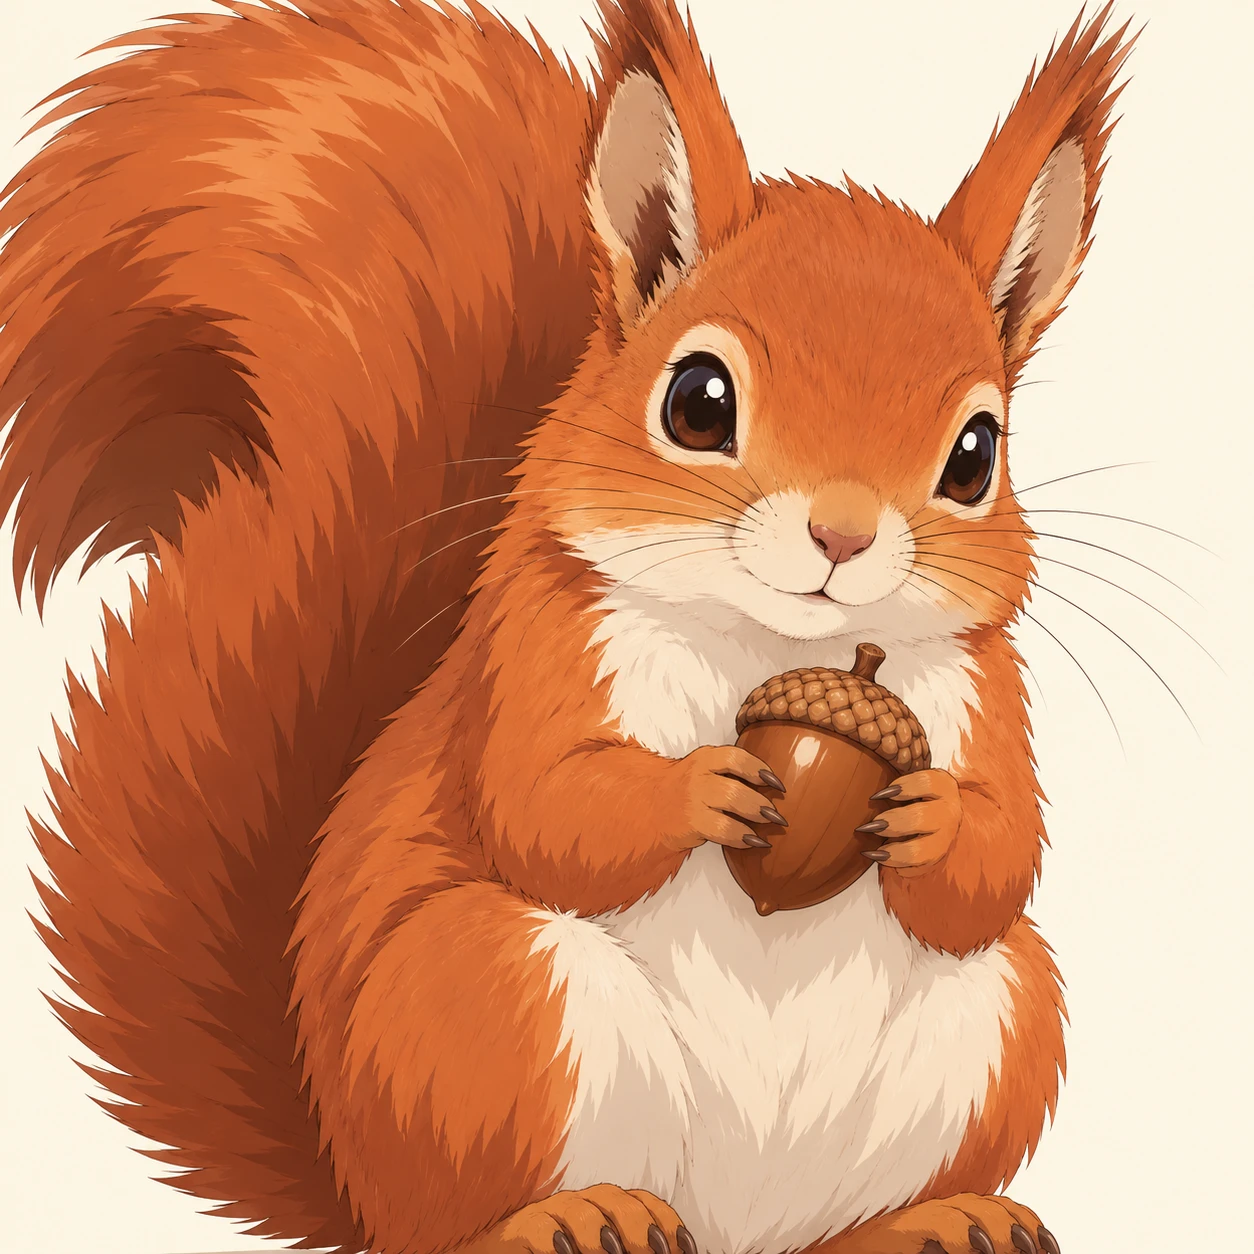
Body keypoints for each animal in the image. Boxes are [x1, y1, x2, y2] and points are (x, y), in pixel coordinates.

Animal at [0, 2, 1135, 1253]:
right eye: (697, 401)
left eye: (977, 455)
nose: (842, 534)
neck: (785, 646)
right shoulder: (538, 647)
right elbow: (544, 804)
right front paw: (701, 785)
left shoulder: (985, 689)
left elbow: (999, 860)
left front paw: (933, 818)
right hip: (493, 1006)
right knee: (462, 1223)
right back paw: (572, 1216)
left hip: (1004, 1017)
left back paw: (936, 1220)